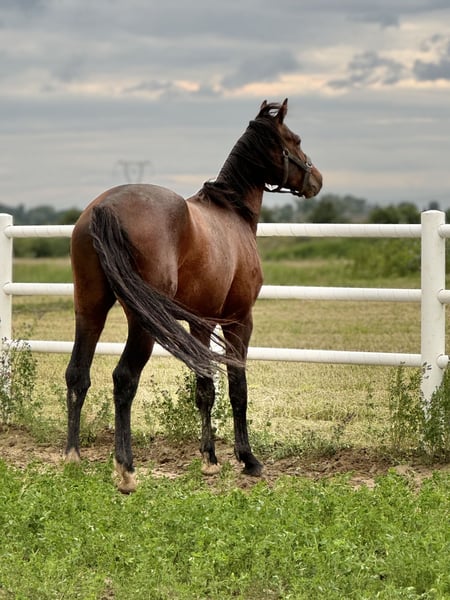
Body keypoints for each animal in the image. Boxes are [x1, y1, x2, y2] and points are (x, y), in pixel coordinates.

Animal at [64, 99, 323, 492]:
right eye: (295, 140)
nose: (317, 179)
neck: (231, 214)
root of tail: (104, 208)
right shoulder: (238, 320)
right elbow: (237, 387)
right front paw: (248, 459)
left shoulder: (201, 323)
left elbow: (204, 388)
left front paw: (210, 460)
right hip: (142, 324)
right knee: (124, 379)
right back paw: (126, 470)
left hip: (90, 308)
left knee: (78, 374)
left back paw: (72, 457)